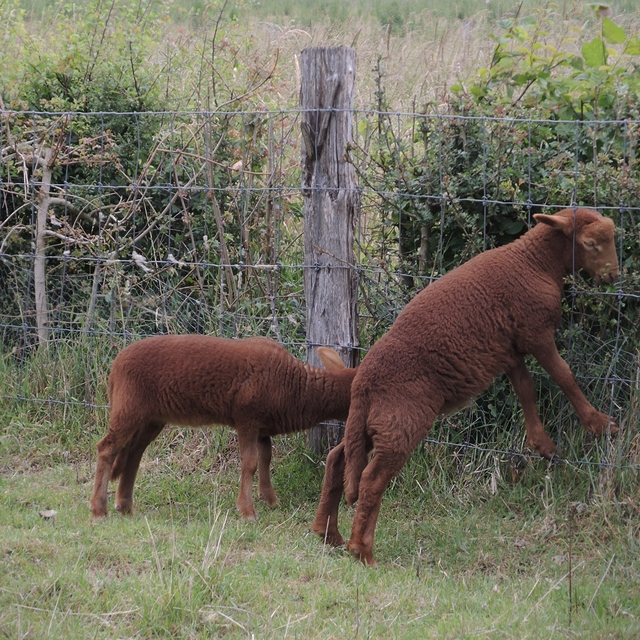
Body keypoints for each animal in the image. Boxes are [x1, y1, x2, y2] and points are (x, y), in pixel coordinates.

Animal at [90, 336, 358, 520]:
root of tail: (115, 366)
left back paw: (124, 505)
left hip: (151, 419)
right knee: (106, 449)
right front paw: (247, 511)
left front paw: (270, 499)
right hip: (129, 409)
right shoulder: (246, 419)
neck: (295, 386)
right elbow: (249, 463)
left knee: (134, 453)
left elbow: (265, 458)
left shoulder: (263, 427)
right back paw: (99, 509)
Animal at [316, 208, 620, 564]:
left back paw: (328, 534)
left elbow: (526, 389)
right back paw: (361, 550)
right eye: (590, 243)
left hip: (370, 421)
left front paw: (541, 443)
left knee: (337, 459)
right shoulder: (535, 332)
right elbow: (564, 376)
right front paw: (600, 424)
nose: (613, 276)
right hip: (402, 420)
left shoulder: (510, 349)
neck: (535, 262)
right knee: (371, 479)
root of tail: (363, 380)